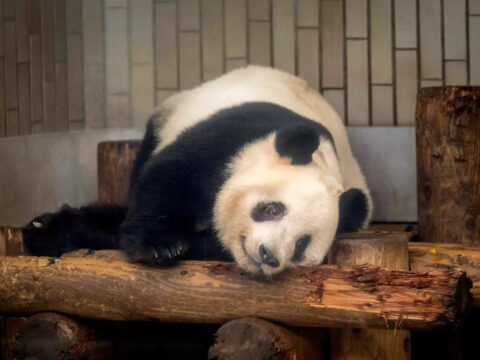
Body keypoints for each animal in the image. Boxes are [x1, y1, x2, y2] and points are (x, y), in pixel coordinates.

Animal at [22, 67, 374, 276]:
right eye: (273, 209)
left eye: (301, 244)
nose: (268, 255)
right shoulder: (229, 141)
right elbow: (164, 181)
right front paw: (159, 246)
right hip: (170, 113)